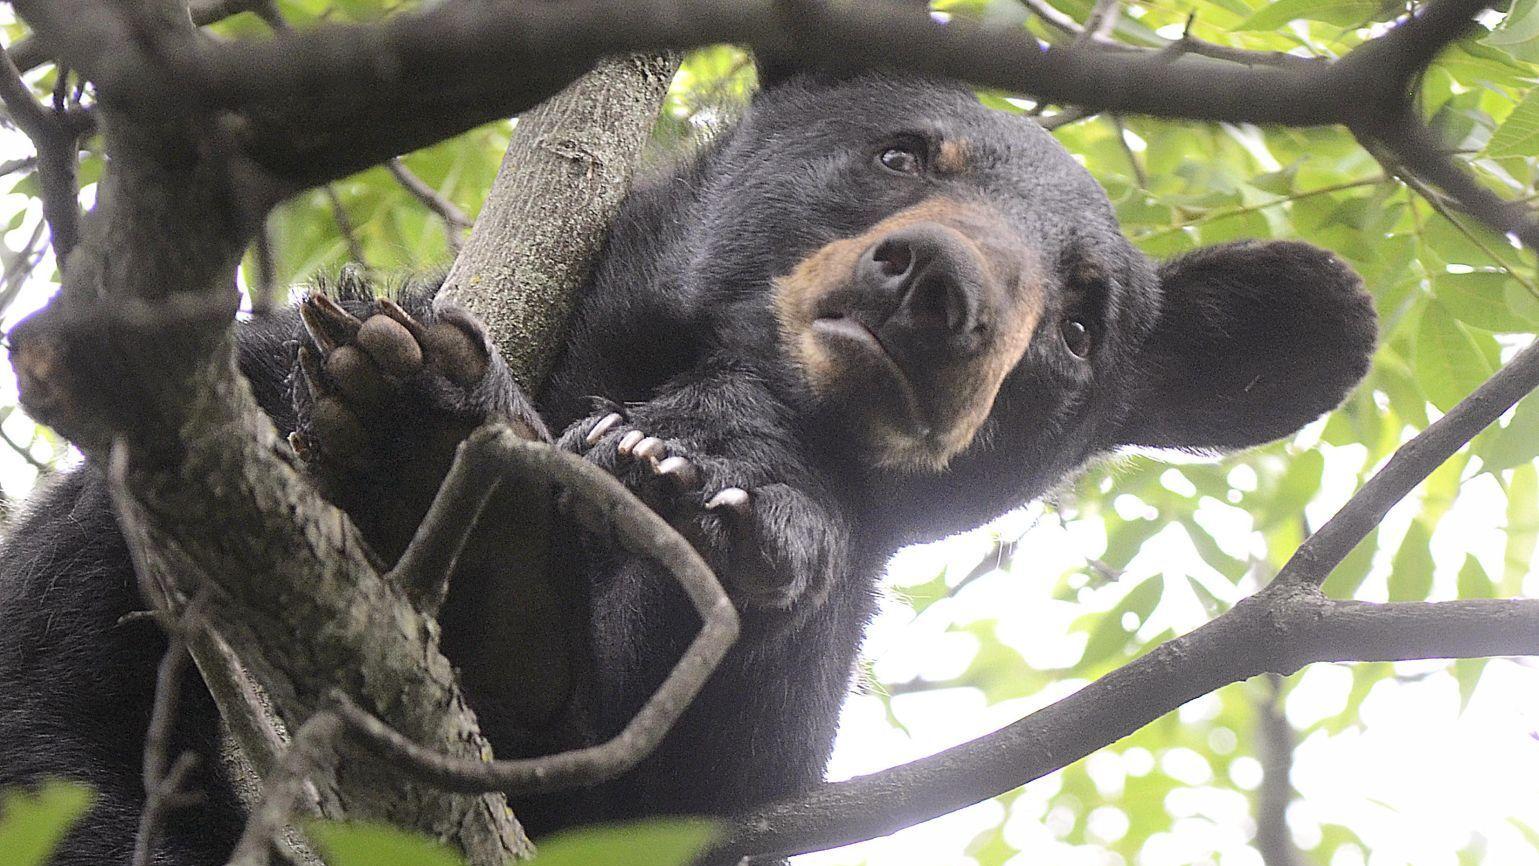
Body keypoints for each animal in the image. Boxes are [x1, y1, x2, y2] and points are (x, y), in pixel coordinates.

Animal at [0, 70, 1377, 865]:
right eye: (902, 152)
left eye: (1084, 321)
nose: (937, 287)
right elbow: (55, 677)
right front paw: (408, 415)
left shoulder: (754, 738)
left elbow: (644, 769)